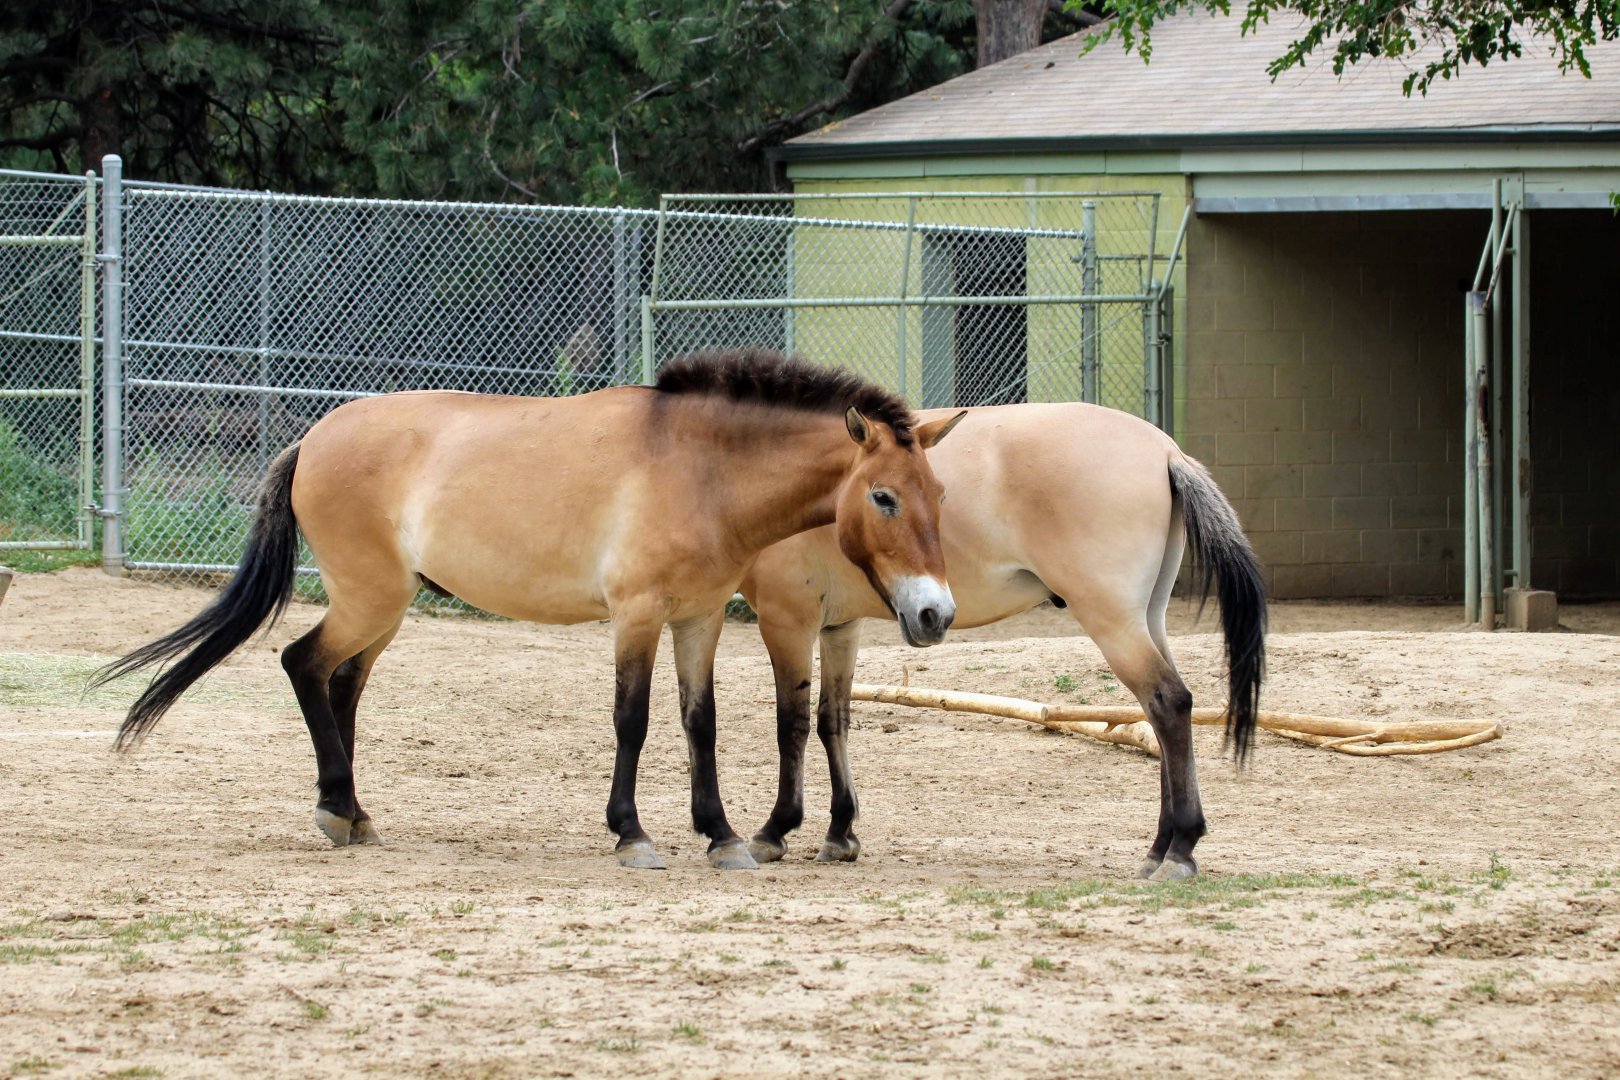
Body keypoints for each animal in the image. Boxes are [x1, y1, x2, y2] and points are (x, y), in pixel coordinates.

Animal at [96, 349, 967, 871]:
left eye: (939, 492)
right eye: (883, 497)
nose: (935, 616)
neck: (698, 466)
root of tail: (312, 437)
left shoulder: (698, 618)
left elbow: (701, 724)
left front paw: (721, 835)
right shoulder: (637, 615)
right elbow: (633, 720)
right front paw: (632, 833)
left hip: (383, 609)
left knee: (340, 683)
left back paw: (353, 814)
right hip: (369, 599)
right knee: (303, 665)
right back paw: (337, 809)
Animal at [738, 402, 1266, 881]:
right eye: (884, 498)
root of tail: (1164, 450)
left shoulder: (788, 623)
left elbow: (792, 725)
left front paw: (775, 831)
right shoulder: (839, 627)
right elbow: (835, 722)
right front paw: (840, 833)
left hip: (1115, 623)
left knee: (1168, 702)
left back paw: (1180, 851)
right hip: (1148, 619)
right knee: (1167, 711)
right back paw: (1161, 848)